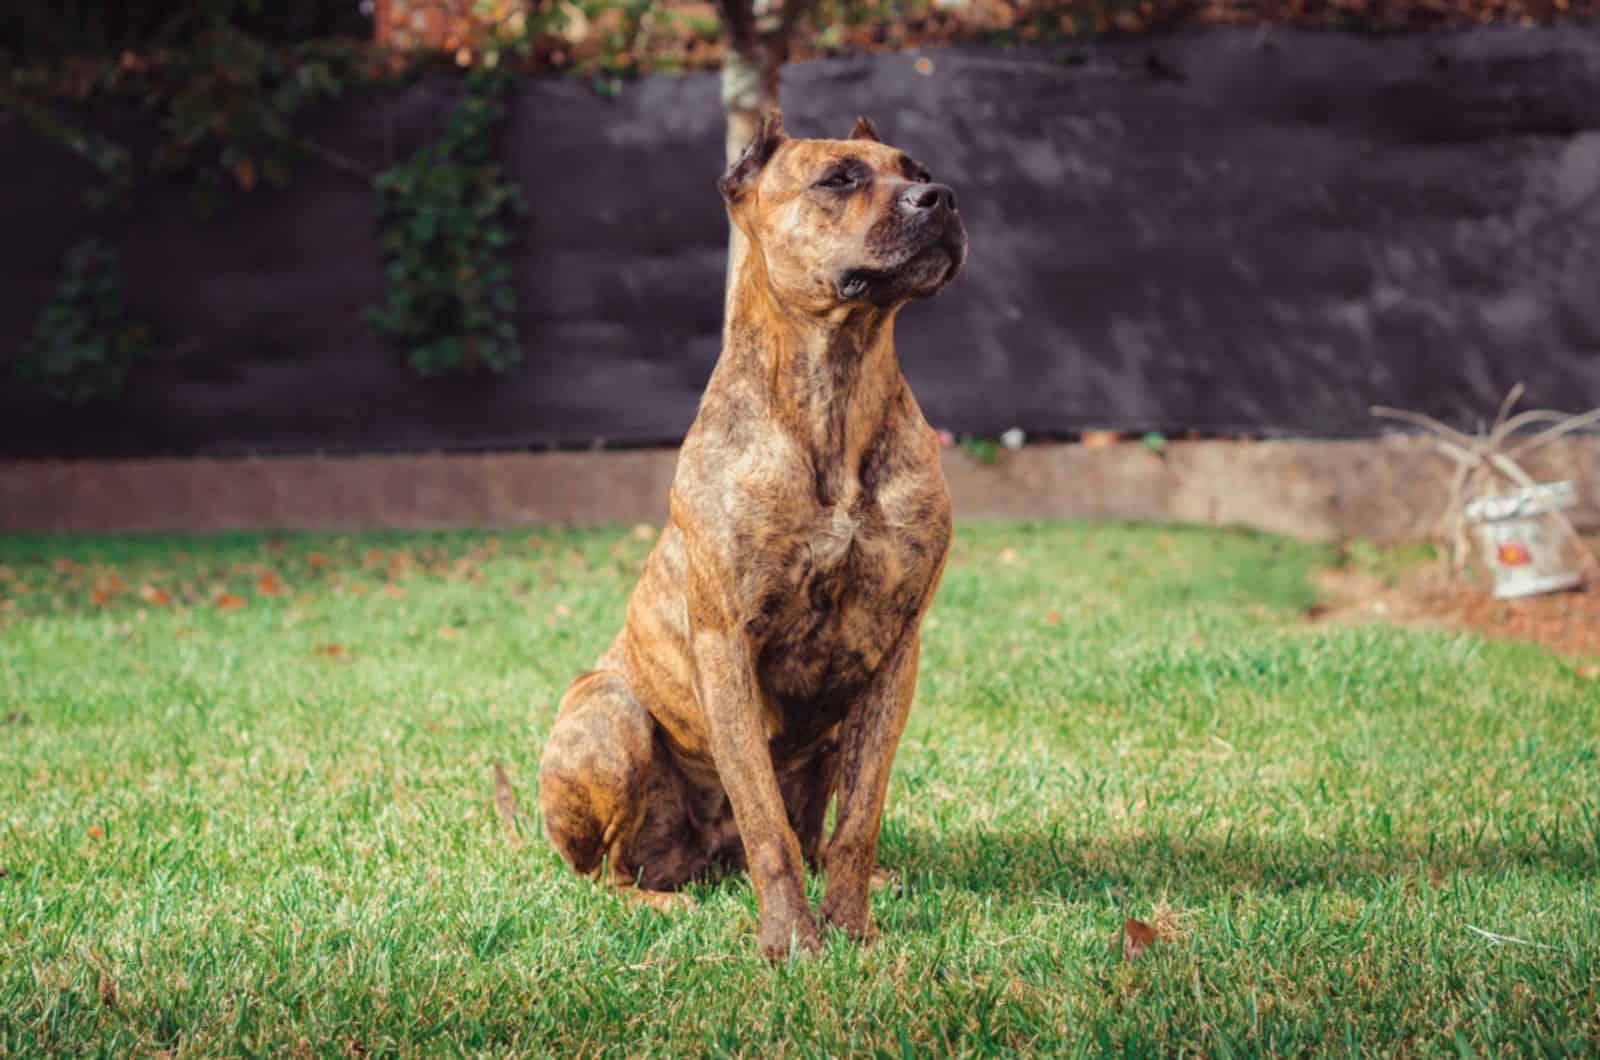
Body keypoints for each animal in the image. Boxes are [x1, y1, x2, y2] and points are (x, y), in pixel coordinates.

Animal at [537, 109, 966, 960]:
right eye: (838, 179)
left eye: (917, 168)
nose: (941, 196)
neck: (836, 388)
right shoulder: (726, 645)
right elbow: (767, 824)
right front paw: (794, 941)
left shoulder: (894, 652)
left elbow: (857, 820)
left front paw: (850, 930)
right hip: (609, 714)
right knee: (612, 877)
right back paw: (668, 907)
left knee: (811, 835)